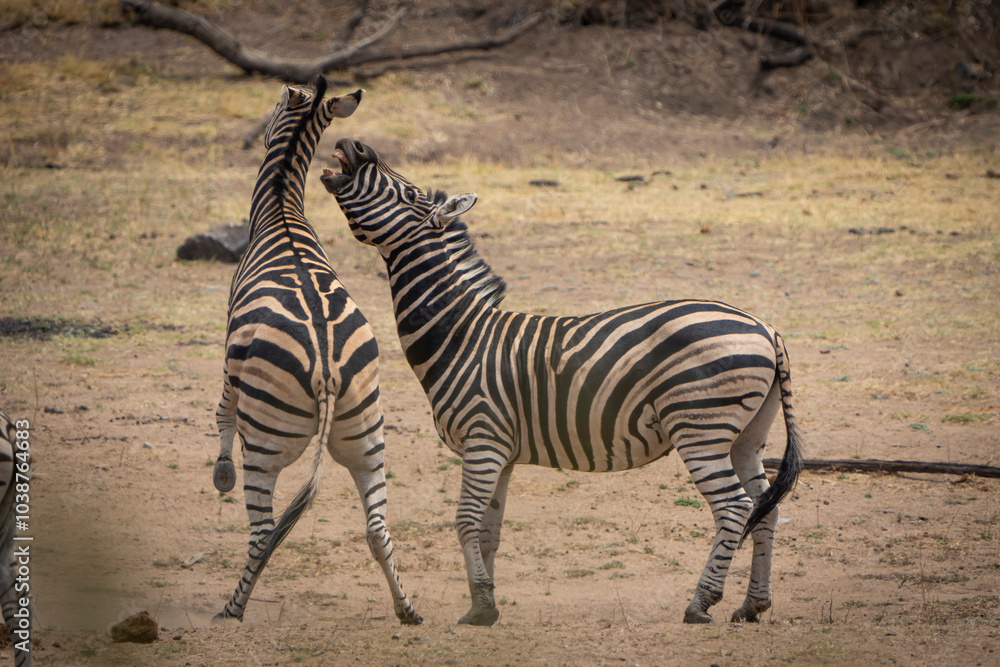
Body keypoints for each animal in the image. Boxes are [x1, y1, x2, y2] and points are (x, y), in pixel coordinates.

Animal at [212, 81, 421, 625]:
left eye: (273, 106)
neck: (282, 211)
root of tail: (326, 368)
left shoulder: (231, 355)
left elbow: (222, 410)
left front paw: (221, 473)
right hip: (367, 435)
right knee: (378, 528)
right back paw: (407, 609)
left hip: (265, 444)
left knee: (263, 534)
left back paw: (233, 608)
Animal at [320, 138, 804, 626]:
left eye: (406, 193)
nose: (353, 145)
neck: (461, 333)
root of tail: (766, 329)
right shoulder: (501, 452)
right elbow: (490, 530)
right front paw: (485, 601)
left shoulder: (482, 438)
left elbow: (465, 520)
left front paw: (479, 606)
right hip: (747, 433)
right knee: (765, 506)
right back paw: (752, 603)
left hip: (700, 427)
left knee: (734, 508)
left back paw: (701, 602)